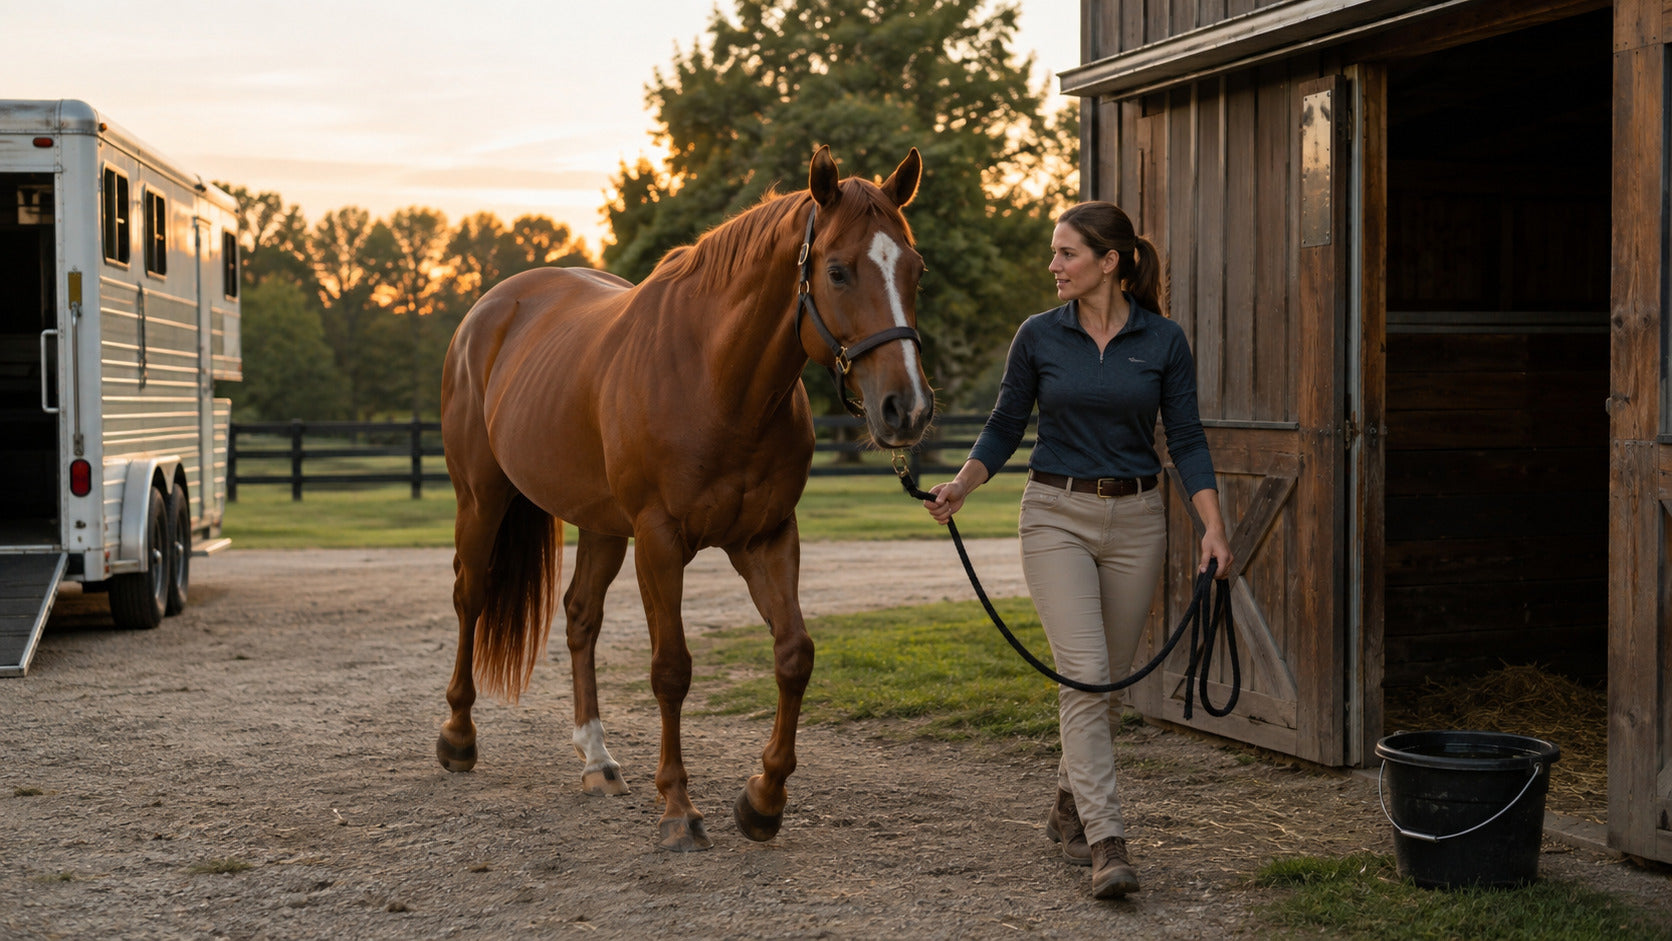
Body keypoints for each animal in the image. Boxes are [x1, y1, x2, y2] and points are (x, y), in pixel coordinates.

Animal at [435, 146, 933, 851]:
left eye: (915, 270)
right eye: (837, 271)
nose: (907, 409)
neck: (716, 379)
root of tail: (490, 310)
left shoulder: (767, 538)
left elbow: (794, 655)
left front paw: (763, 800)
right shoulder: (660, 539)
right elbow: (671, 668)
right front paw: (677, 807)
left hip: (601, 525)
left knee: (580, 616)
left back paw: (597, 759)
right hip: (481, 498)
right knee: (470, 598)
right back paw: (458, 737)